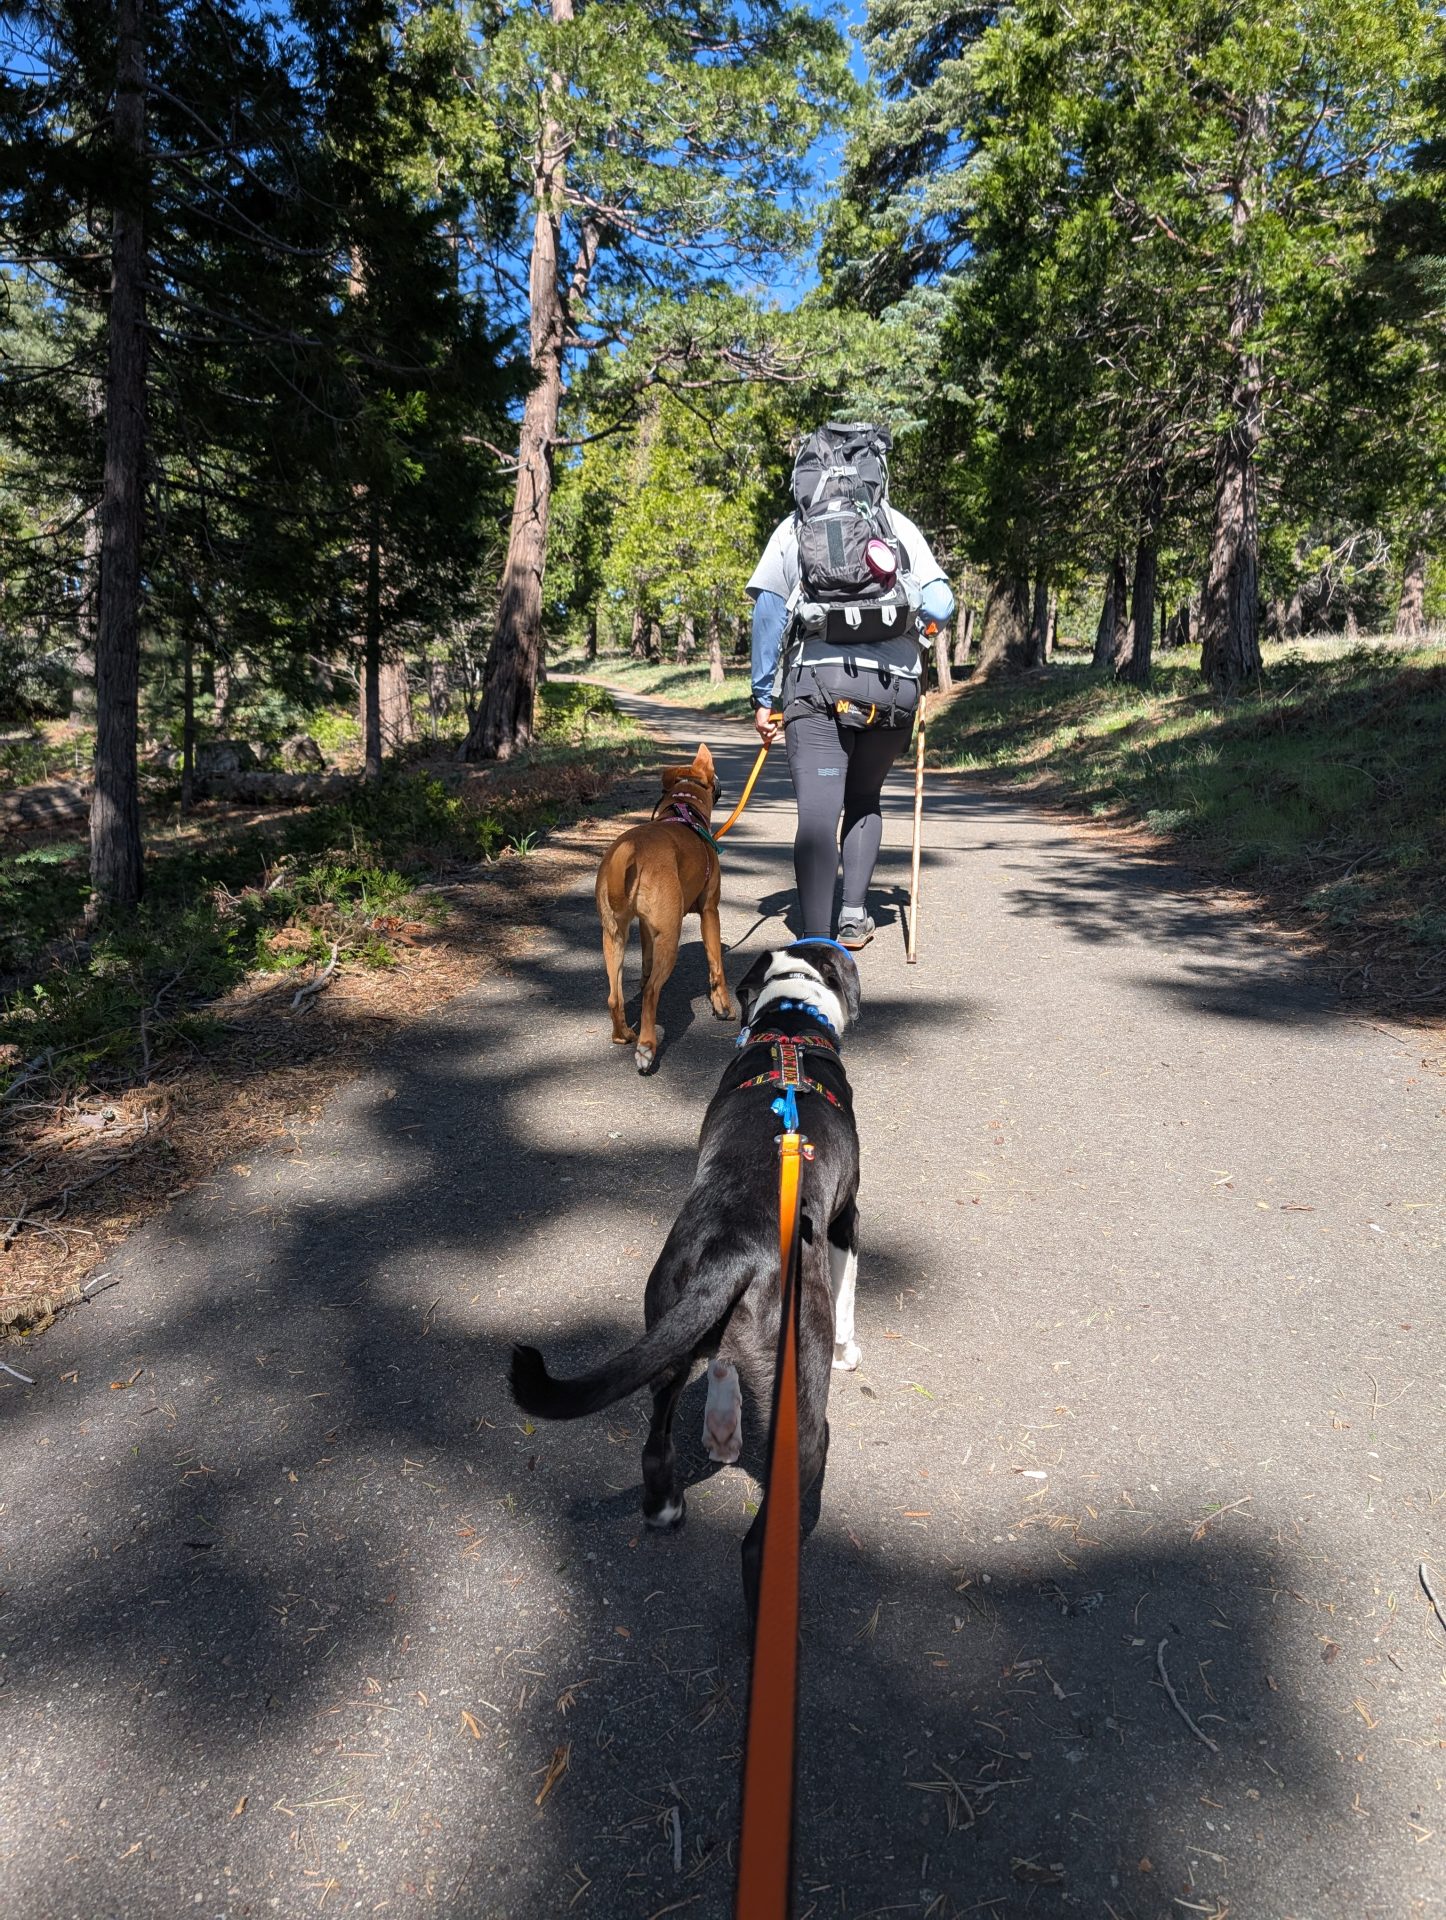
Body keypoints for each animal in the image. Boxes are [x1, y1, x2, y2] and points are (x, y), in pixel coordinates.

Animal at [510, 939, 863, 1622]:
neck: (790, 1025)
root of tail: (733, 1249)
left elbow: (721, 1373)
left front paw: (722, 1429)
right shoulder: (846, 1218)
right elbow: (851, 1292)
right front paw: (851, 1349)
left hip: (667, 1332)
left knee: (656, 1441)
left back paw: (665, 1505)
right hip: (799, 1393)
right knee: (760, 1534)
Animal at [595, 742, 733, 1074]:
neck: (683, 809)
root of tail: (634, 850)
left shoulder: (647, 929)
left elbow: (645, 965)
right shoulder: (710, 912)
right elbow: (716, 966)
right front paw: (723, 1006)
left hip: (614, 937)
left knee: (615, 997)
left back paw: (624, 1034)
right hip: (670, 938)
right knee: (650, 994)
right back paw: (646, 1048)